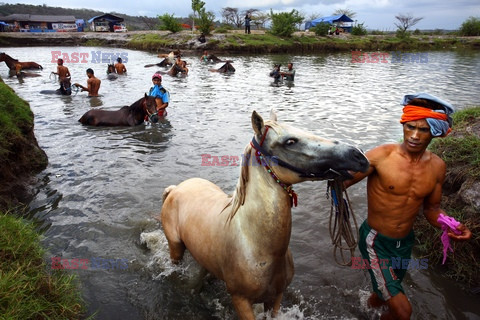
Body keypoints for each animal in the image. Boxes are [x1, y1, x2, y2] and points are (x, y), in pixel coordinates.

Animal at [159, 110, 370, 320]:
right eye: (290, 141)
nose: (358, 155)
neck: (256, 246)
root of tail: (176, 188)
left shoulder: (276, 296)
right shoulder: (241, 300)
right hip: (175, 248)